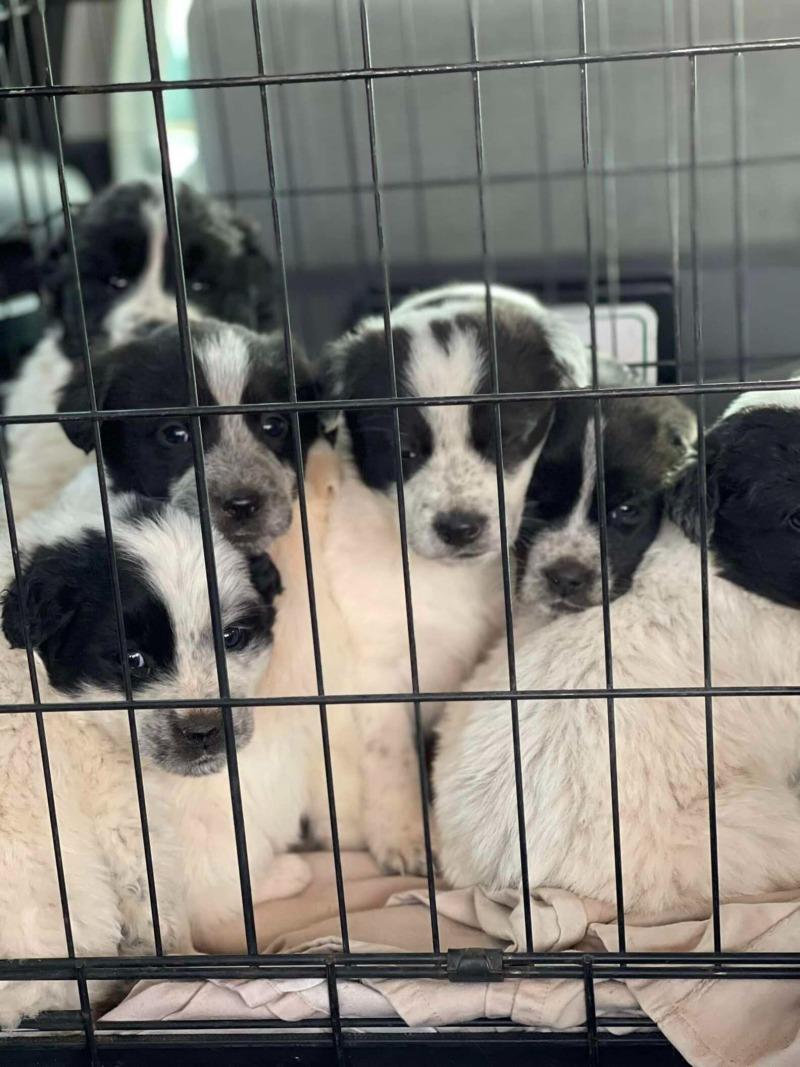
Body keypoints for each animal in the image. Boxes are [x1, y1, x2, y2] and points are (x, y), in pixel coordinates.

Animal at [322, 283, 593, 874]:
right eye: (404, 450)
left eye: (509, 437)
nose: (459, 527)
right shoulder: (379, 658)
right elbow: (389, 749)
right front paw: (404, 831)